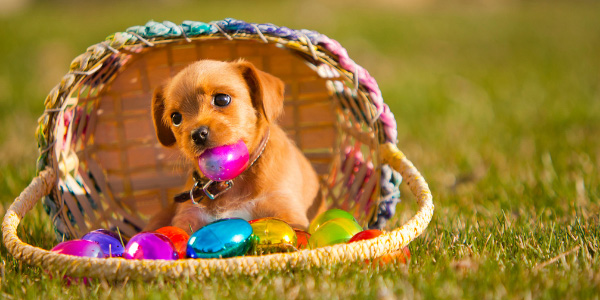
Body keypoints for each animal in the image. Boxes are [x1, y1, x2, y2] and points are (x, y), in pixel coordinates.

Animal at [145, 59, 324, 232]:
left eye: (222, 99)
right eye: (176, 118)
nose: (197, 134)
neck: (231, 183)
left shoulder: (284, 208)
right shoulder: (189, 216)